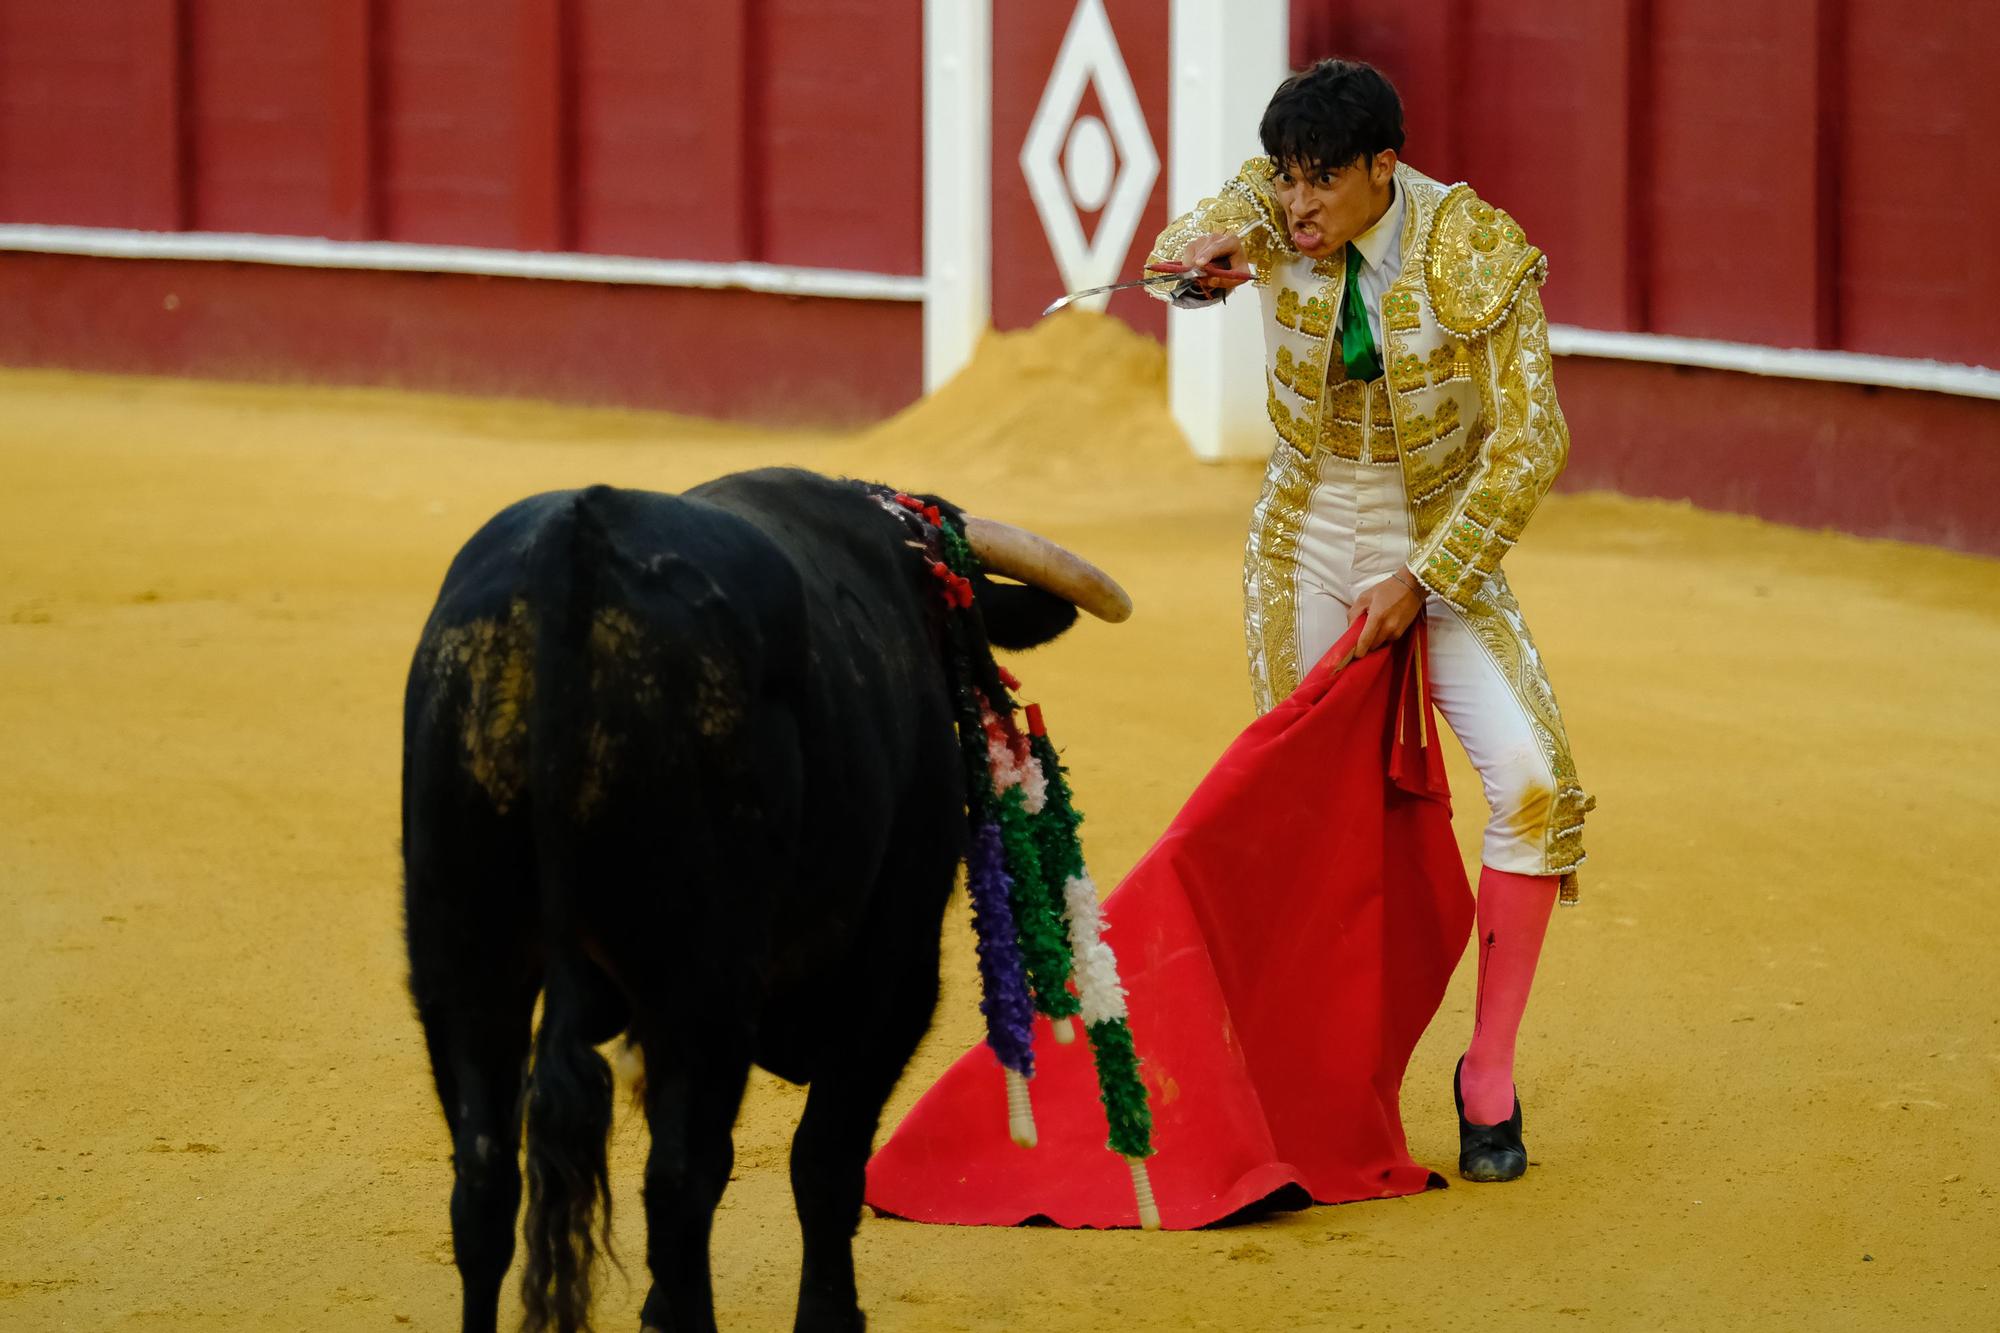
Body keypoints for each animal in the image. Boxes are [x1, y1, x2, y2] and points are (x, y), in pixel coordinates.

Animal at [398, 470, 1088, 1328]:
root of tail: (575, 551)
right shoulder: (892, 976)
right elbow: (824, 1161)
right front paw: (829, 1316)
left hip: (460, 962)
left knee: (485, 1184)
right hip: (703, 980)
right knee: (678, 1186)